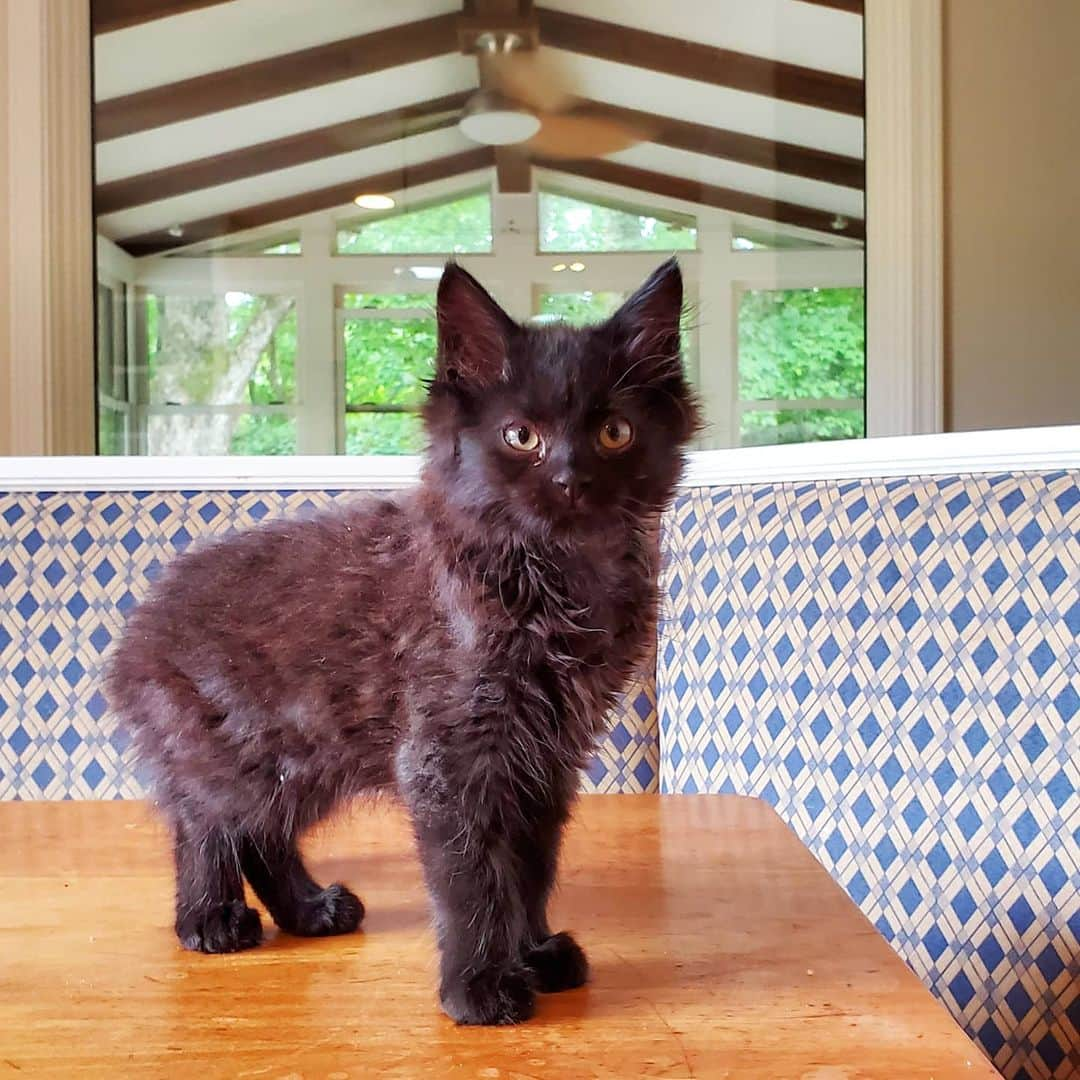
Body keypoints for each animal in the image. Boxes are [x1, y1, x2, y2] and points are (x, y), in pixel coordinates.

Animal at [107, 257, 699, 1023]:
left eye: (616, 433)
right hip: (227, 743)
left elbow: (530, 865)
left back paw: (309, 910)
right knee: (206, 822)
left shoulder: (547, 755)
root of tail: (143, 619)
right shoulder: (451, 752)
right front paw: (479, 986)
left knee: (262, 832)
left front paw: (533, 951)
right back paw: (209, 918)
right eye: (520, 436)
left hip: (302, 754)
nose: (572, 479)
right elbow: (474, 874)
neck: (554, 575)